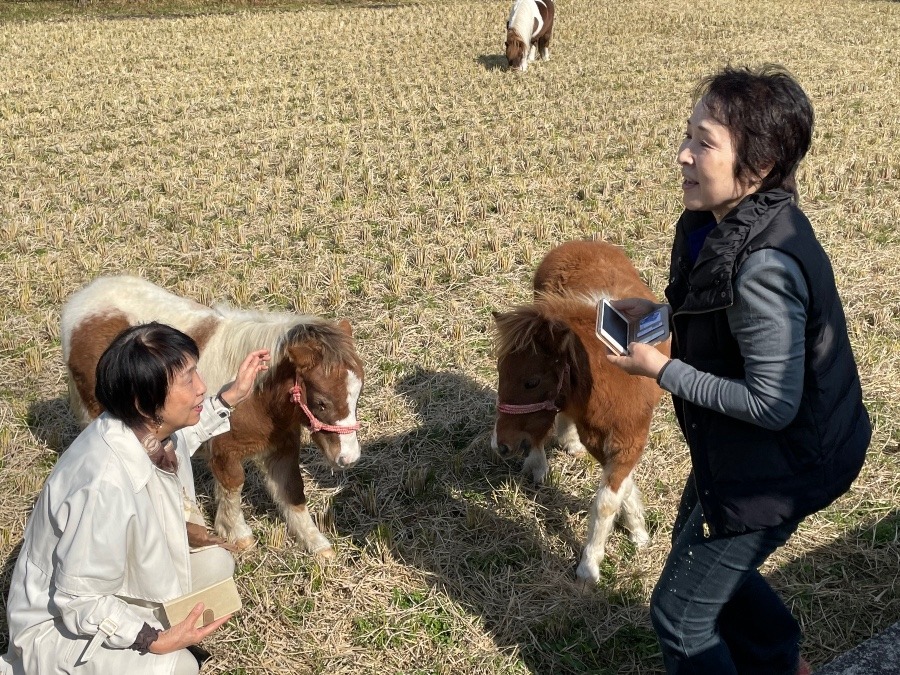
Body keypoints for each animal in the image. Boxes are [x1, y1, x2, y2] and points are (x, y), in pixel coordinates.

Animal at [60, 274, 366, 560]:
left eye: (357, 395)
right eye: (321, 402)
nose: (348, 458)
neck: (258, 397)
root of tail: (81, 303)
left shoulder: (282, 445)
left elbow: (292, 488)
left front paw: (317, 544)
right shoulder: (224, 450)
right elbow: (233, 486)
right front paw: (238, 535)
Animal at [492, 243, 668, 588]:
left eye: (531, 381)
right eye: (500, 372)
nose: (500, 445)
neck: (613, 381)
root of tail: (581, 243)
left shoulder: (630, 441)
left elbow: (609, 498)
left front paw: (600, 559)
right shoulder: (597, 440)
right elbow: (618, 490)